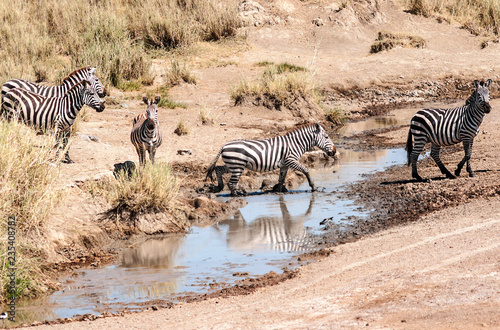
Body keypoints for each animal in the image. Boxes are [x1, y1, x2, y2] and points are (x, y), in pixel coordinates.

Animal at [205, 123, 338, 196]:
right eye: (326, 137)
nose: (334, 151)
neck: (296, 143)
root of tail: (224, 146)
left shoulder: (284, 164)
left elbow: (281, 179)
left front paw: (279, 192)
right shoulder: (291, 160)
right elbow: (306, 170)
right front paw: (313, 187)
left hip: (234, 165)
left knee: (218, 169)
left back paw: (219, 187)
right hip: (237, 166)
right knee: (231, 183)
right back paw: (237, 195)